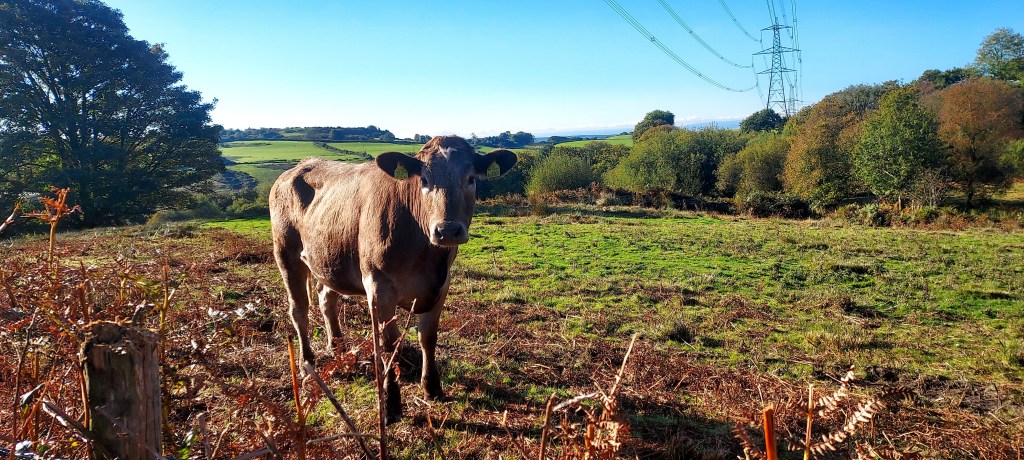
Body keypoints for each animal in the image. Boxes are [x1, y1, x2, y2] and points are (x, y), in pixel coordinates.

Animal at [269, 135, 516, 423]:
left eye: (471, 179)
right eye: (424, 180)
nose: (447, 230)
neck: (425, 254)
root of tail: (299, 167)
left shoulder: (441, 285)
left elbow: (428, 338)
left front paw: (432, 388)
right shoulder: (379, 288)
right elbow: (388, 345)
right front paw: (391, 403)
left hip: (329, 259)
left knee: (326, 300)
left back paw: (338, 348)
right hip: (286, 254)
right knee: (299, 310)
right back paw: (307, 364)